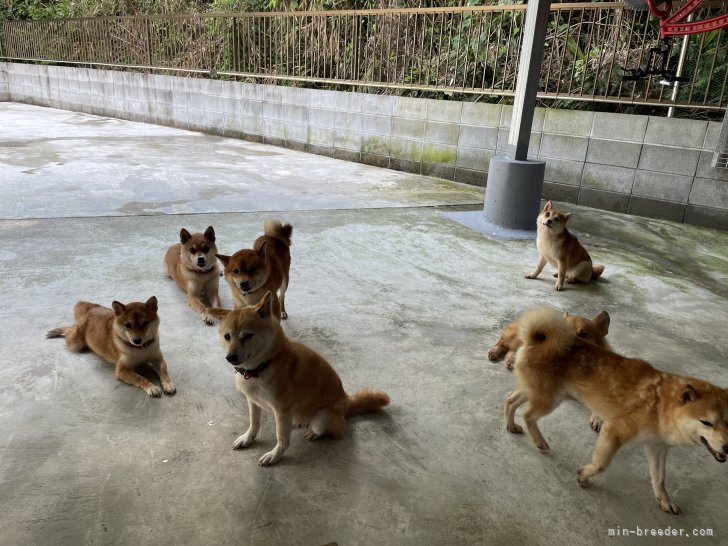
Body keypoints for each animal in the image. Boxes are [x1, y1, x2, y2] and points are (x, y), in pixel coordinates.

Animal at [46, 298, 176, 396]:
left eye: (145, 323)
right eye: (128, 325)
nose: (136, 340)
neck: (141, 349)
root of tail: (94, 308)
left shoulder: (157, 359)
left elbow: (164, 371)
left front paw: (167, 384)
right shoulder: (122, 370)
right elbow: (140, 378)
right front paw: (151, 387)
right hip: (75, 343)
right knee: (69, 329)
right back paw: (54, 331)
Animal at [208, 292, 390, 466]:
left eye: (247, 336)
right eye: (227, 336)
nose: (230, 357)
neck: (262, 367)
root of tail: (346, 402)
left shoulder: (281, 410)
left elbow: (282, 438)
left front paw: (275, 455)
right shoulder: (253, 401)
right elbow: (254, 423)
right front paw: (247, 438)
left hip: (321, 417)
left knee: (331, 428)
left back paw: (314, 433)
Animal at [504, 308, 728, 512]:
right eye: (706, 422)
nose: (727, 448)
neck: (661, 405)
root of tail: (538, 339)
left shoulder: (656, 448)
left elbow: (660, 478)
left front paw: (664, 500)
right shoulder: (614, 431)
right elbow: (601, 464)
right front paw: (583, 475)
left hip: (537, 392)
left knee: (510, 401)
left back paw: (511, 425)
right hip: (550, 399)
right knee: (528, 415)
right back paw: (539, 441)